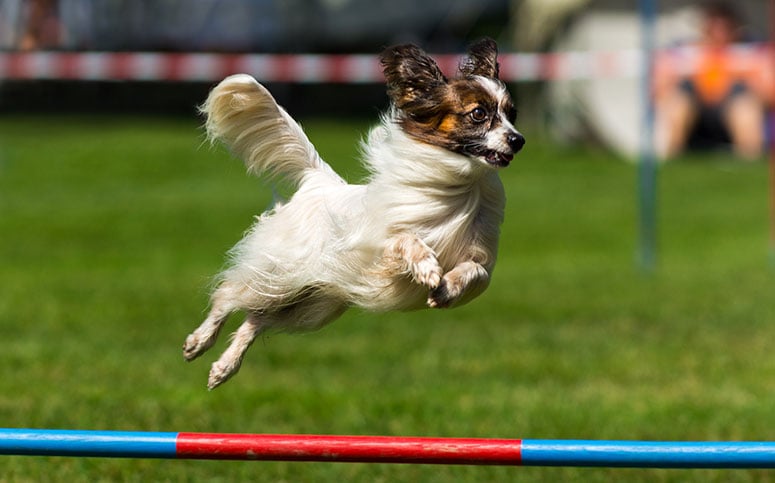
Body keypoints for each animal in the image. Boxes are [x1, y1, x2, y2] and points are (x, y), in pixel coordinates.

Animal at [182, 39, 524, 392]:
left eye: (512, 115)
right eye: (479, 114)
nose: (518, 140)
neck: (461, 188)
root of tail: (317, 184)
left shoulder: (479, 257)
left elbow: (476, 272)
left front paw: (447, 289)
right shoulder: (382, 247)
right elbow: (408, 240)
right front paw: (428, 268)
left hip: (312, 304)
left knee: (255, 320)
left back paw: (224, 367)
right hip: (279, 272)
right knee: (227, 296)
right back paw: (199, 342)